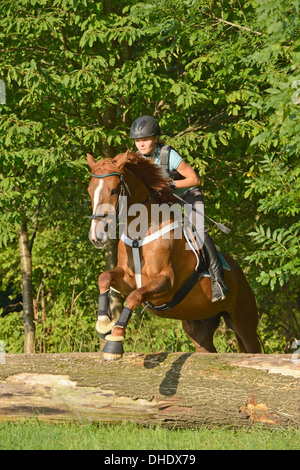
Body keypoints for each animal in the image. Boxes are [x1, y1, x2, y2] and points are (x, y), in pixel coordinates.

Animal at [86, 151, 260, 360]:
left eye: (113, 190)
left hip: (243, 321)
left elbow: (134, 297)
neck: (139, 234)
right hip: (199, 326)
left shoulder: (166, 282)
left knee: (252, 345)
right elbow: (104, 278)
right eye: (89, 190)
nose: (96, 236)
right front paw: (104, 323)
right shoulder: (127, 279)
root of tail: (238, 271)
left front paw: (115, 341)